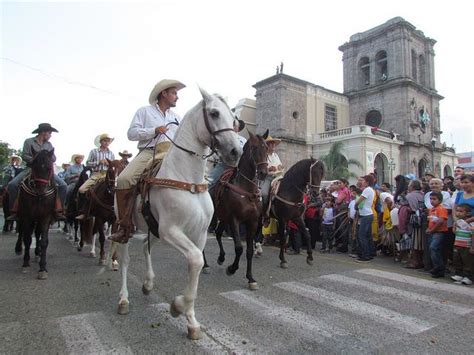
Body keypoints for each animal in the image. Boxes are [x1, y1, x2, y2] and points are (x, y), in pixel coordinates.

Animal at [17, 149, 57, 280]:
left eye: (49, 168)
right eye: (33, 166)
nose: (41, 192)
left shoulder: (45, 217)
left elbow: (44, 241)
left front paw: (42, 268)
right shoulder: (26, 216)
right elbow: (27, 239)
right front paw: (25, 263)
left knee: (37, 233)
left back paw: (37, 254)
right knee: (22, 232)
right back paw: (19, 249)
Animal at [114, 87, 241, 340]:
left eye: (234, 119)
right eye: (213, 113)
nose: (236, 152)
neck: (187, 180)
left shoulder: (198, 234)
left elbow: (197, 265)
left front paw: (191, 321)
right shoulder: (171, 230)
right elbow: (195, 260)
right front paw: (177, 307)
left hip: (153, 229)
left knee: (146, 246)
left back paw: (148, 284)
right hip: (125, 227)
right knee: (124, 260)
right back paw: (123, 300)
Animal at [206, 131, 268, 290]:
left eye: (267, 149)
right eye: (254, 148)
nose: (264, 173)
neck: (246, 190)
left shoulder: (252, 222)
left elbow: (249, 250)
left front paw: (250, 278)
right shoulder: (235, 220)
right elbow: (239, 247)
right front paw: (232, 269)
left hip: (223, 218)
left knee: (218, 234)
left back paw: (221, 257)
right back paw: (205, 265)